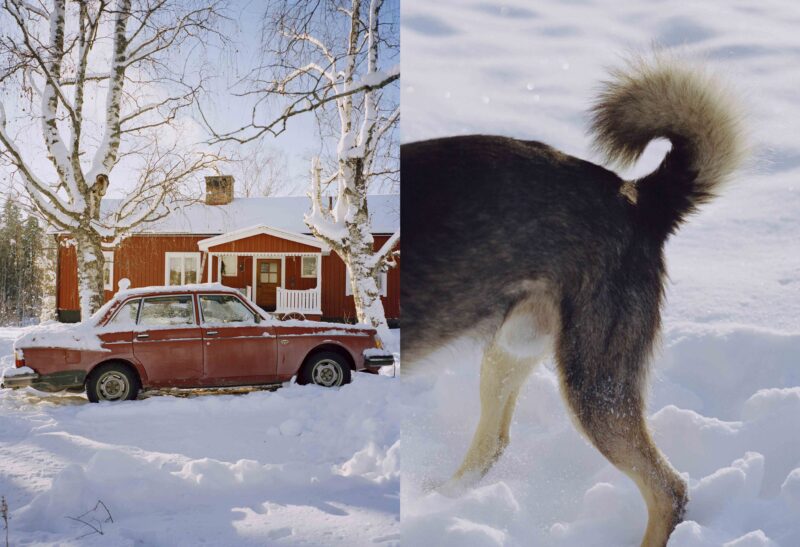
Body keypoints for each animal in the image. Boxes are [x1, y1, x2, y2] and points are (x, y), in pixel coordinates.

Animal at [404, 56, 748, 547]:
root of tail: (637, 197)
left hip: (594, 387)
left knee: (670, 490)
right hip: (514, 352)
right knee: (492, 446)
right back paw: (436, 505)